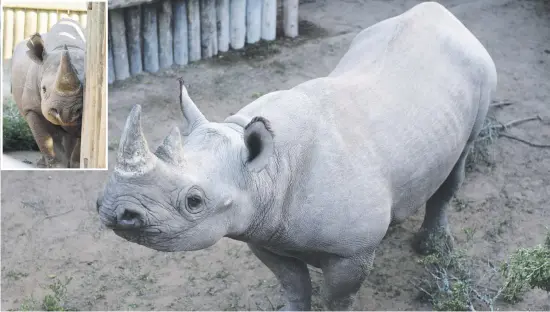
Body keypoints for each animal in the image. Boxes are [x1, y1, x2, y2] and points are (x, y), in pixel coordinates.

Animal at [10, 17, 86, 168]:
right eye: (43, 89)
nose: (66, 112)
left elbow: (80, 141)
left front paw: (75, 165)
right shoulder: (32, 108)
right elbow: (46, 138)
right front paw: (57, 166)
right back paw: (42, 163)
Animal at [96, 1, 500, 310]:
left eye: (194, 201)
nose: (112, 210)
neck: (266, 170)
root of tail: (444, 14)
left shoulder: (349, 254)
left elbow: (338, 299)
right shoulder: (264, 232)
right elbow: (293, 287)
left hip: (481, 69)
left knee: (460, 161)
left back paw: (430, 246)